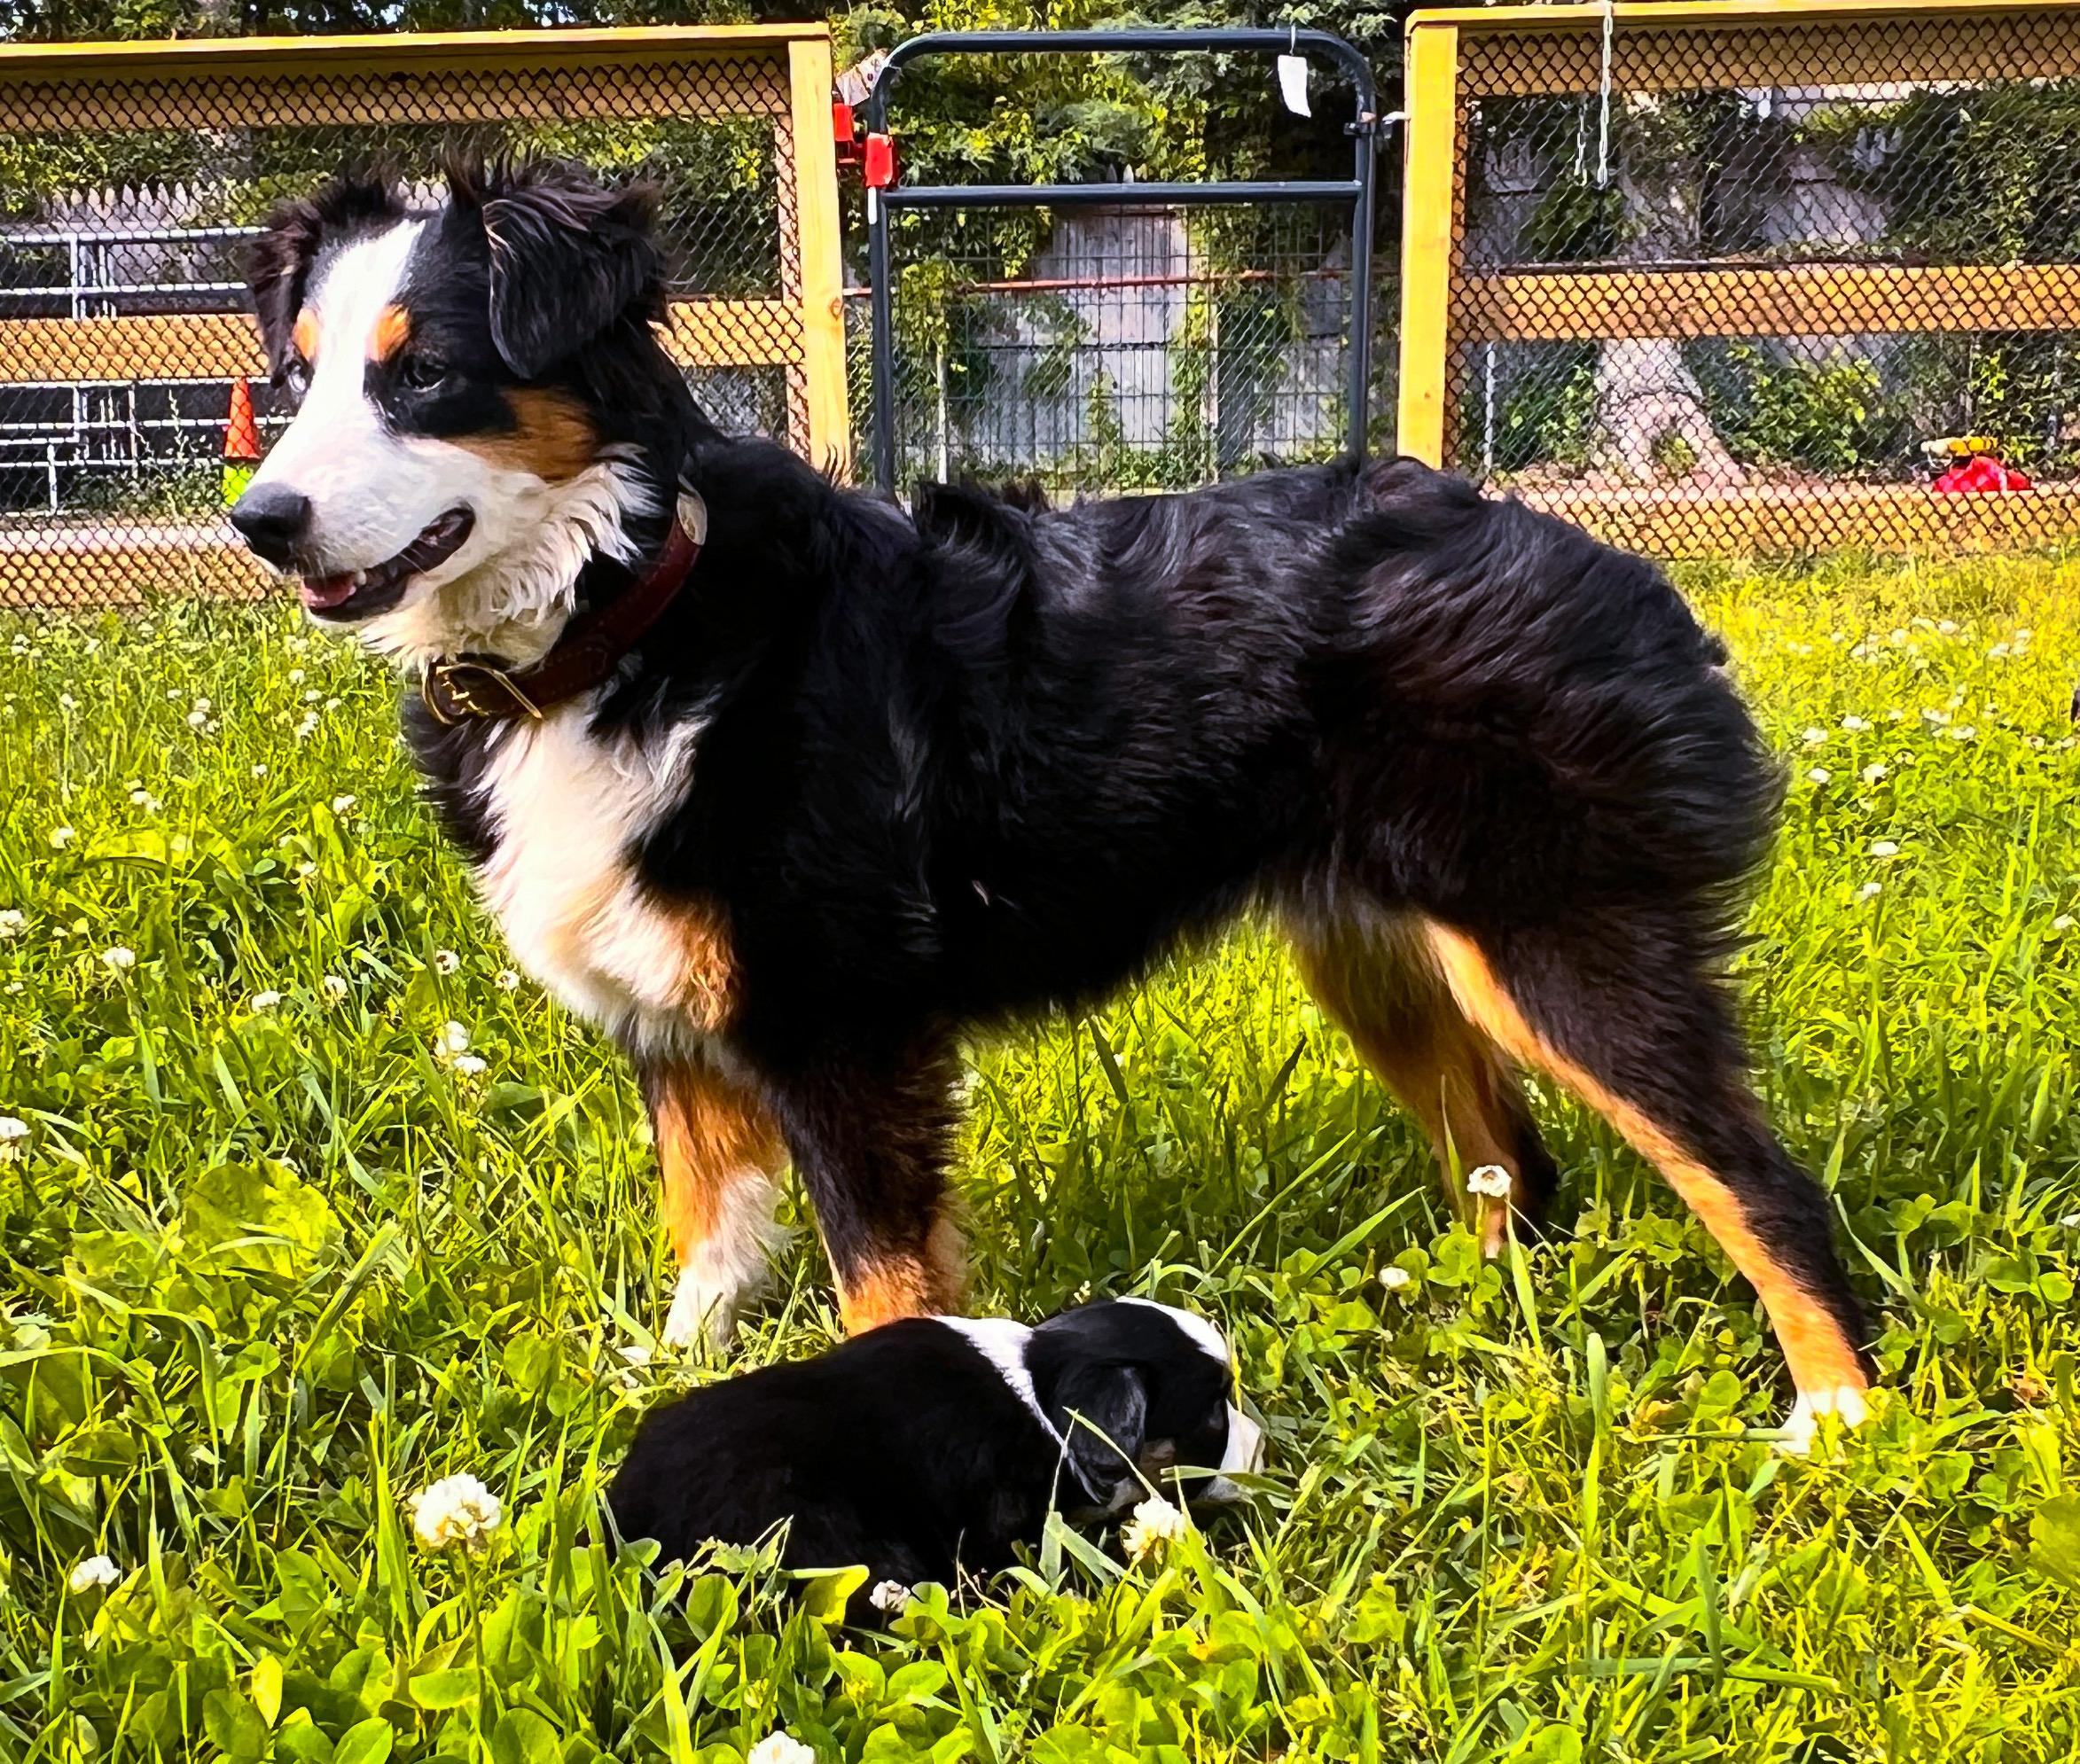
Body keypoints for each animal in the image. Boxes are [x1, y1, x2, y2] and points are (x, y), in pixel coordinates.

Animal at [229, 158, 1871, 1449]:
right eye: (296, 380)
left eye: (423, 372)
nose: (260, 519)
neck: (622, 612)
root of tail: (1601, 556)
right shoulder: (669, 1012)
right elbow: (710, 1230)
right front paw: (665, 1375)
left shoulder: (841, 1023)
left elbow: (877, 1277)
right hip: (1383, 959)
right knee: (1516, 1167)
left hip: (1559, 944)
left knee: (1755, 1180)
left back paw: (1841, 1413)